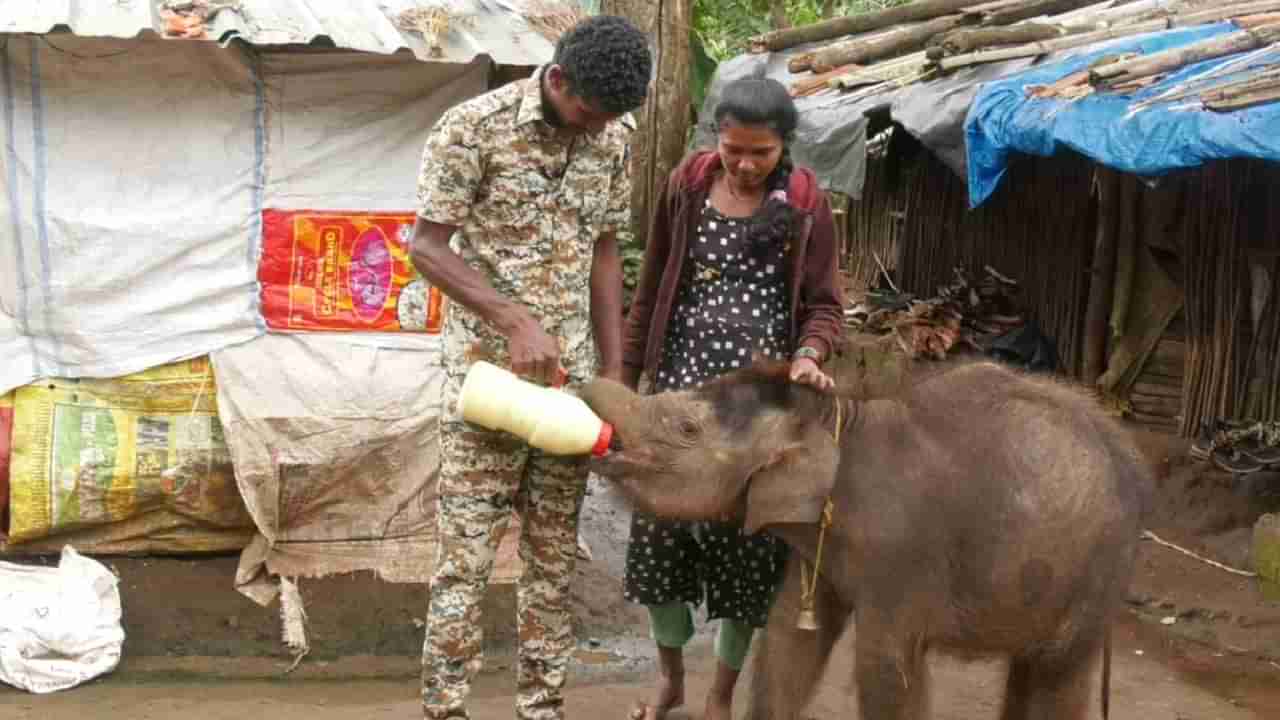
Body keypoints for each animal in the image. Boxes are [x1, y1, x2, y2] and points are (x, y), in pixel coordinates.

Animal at [581, 358, 1152, 717]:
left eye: (687, 428)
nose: (576, 384)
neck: (838, 417)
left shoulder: (901, 556)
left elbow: (885, 669)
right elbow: (789, 640)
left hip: (1098, 573)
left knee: (1056, 676)